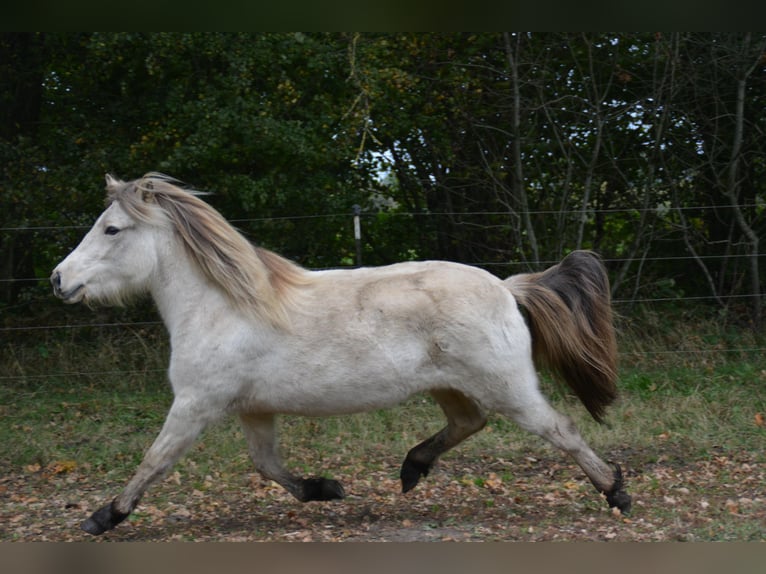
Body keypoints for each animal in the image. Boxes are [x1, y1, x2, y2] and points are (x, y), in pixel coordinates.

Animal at [51, 173, 631, 535]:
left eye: (112, 228)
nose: (59, 279)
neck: (223, 307)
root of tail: (508, 287)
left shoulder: (195, 405)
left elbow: (154, 461)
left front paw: (104, 517)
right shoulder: (252, 410)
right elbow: (267, 465)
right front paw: (325, 489)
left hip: (507, 387)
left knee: (561, 430)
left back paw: (616, 494)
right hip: (451, 385)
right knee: (469, 423)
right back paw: (411, 469)